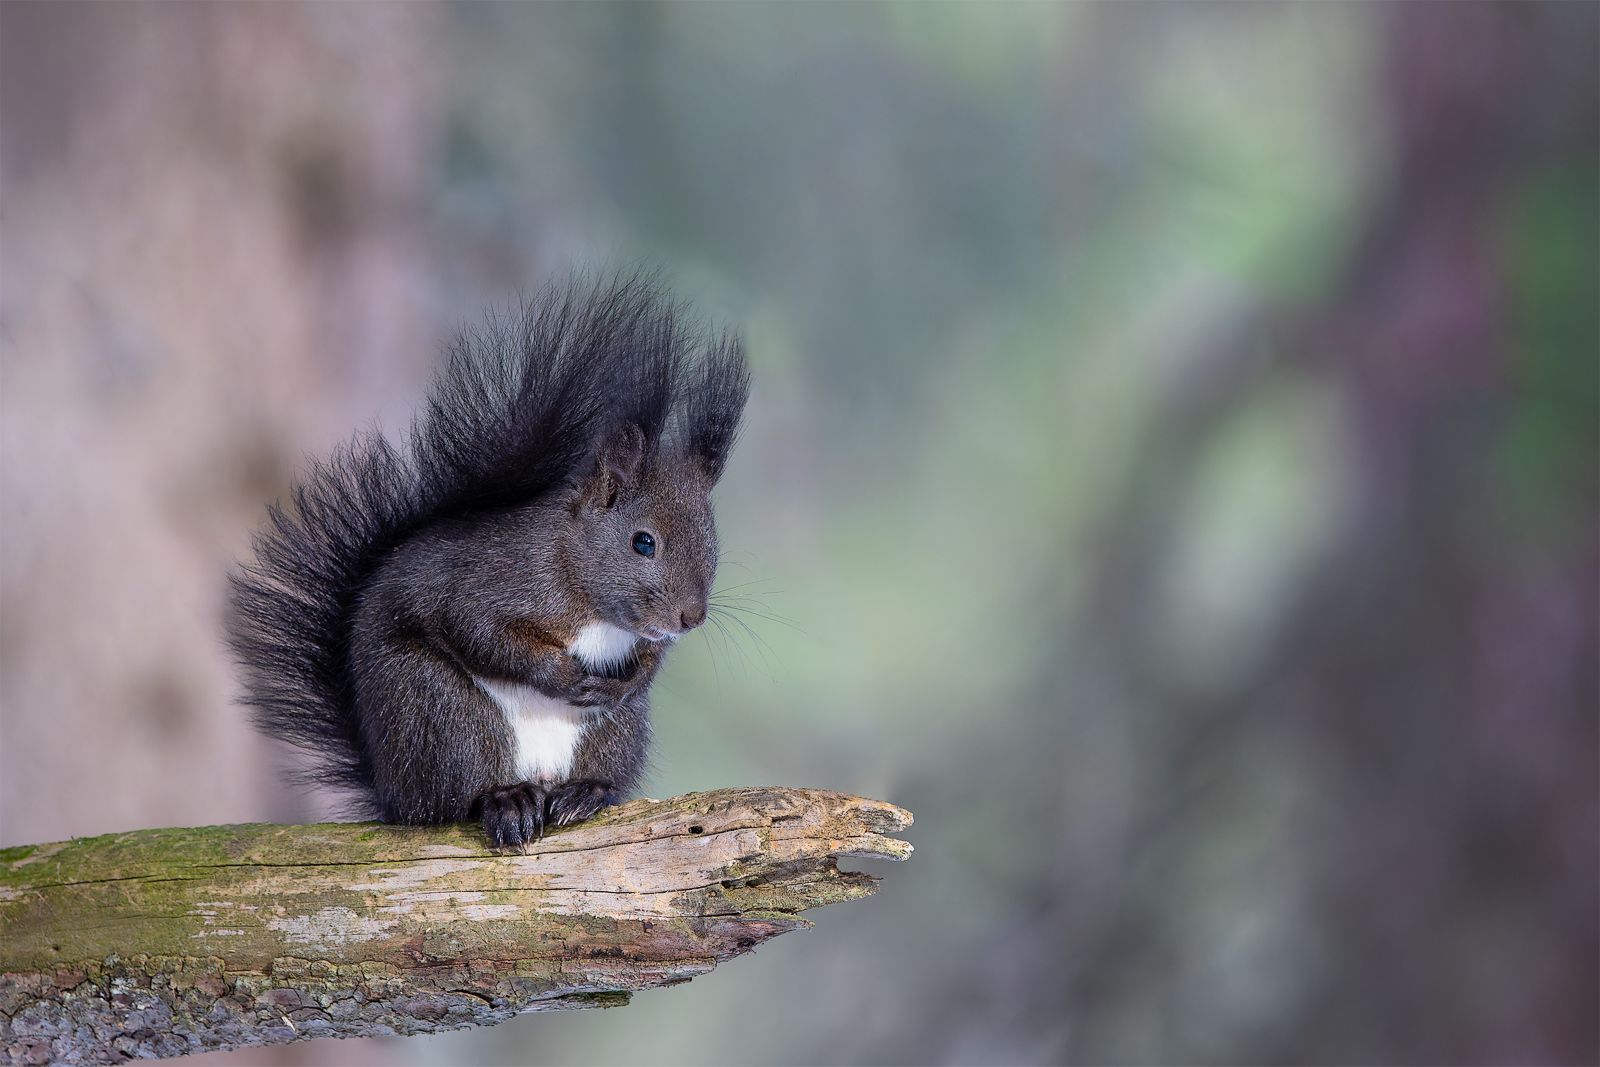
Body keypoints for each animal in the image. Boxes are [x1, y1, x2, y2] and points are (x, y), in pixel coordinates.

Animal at [230, 275, 748, 851]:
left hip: (615, 732)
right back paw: (505, 800)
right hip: (439, 713)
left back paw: (584, 793)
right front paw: (563, 676)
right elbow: (479, 631)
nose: (691, 618)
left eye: (713, 541)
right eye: (643, 543)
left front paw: (624, 682)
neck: (582, 583)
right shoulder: (493, 581)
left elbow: (649, 663)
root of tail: (391, 794)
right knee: (455, 799)